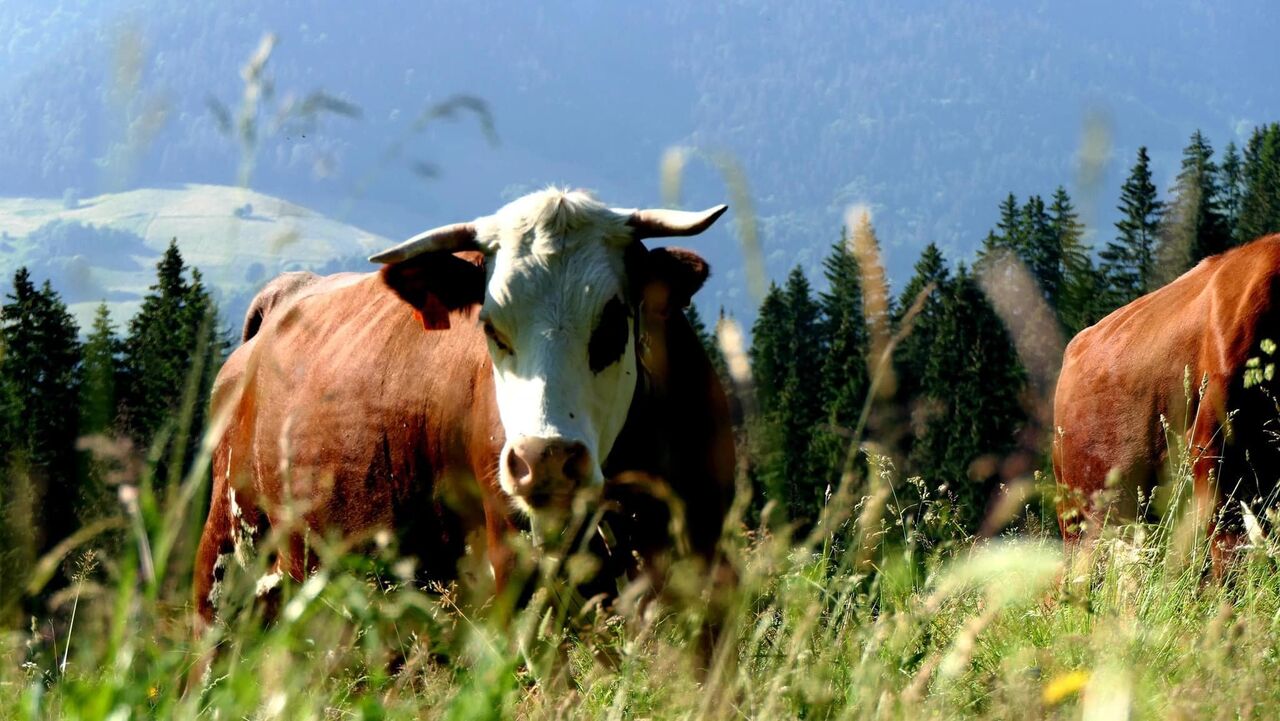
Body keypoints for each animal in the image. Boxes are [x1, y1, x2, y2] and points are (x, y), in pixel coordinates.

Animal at [193, 188, 736, 640]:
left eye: (613, 321)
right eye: (491, 327)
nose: (546, 459)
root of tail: (284, 296)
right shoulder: (516, 565)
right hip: (224, 566)